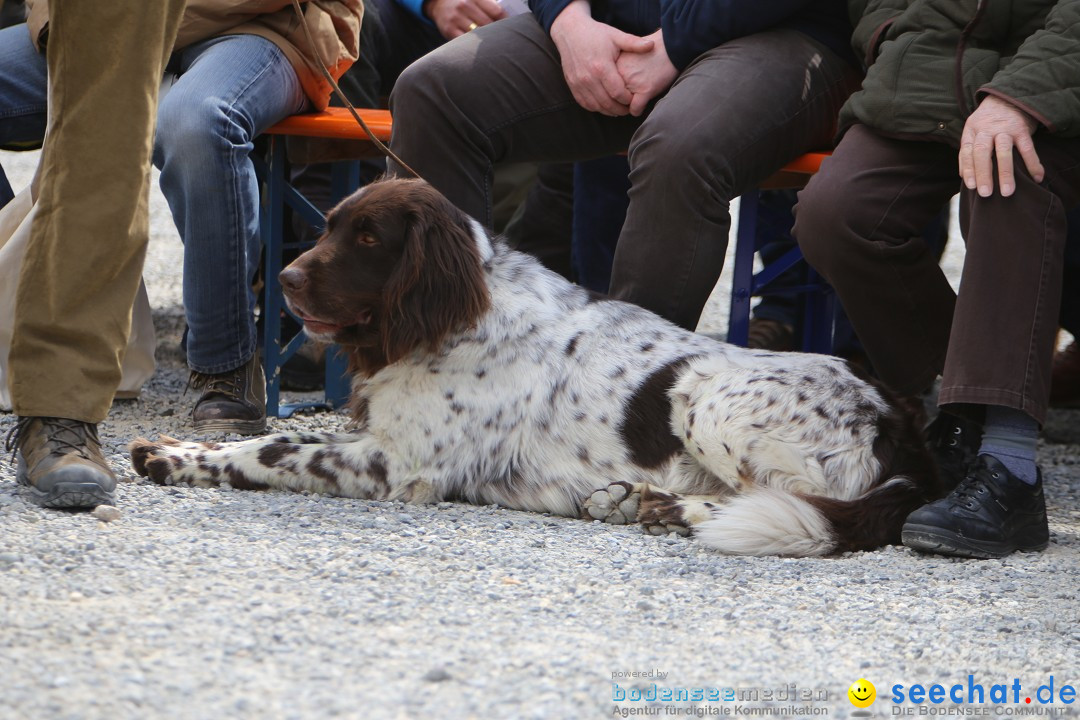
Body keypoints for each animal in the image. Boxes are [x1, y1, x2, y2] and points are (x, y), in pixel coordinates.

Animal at [130, 175, 941, 557]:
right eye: (328, 225)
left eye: (367, 238)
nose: (288, 280)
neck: (456, 322)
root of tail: (900, 415)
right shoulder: (379, 437)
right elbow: (275, 436)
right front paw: (179, 446)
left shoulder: (400, 467)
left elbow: (269, 451)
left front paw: (182, 463)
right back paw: (628, 497)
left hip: (706, 397)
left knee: (796, 506)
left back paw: (666, 508)